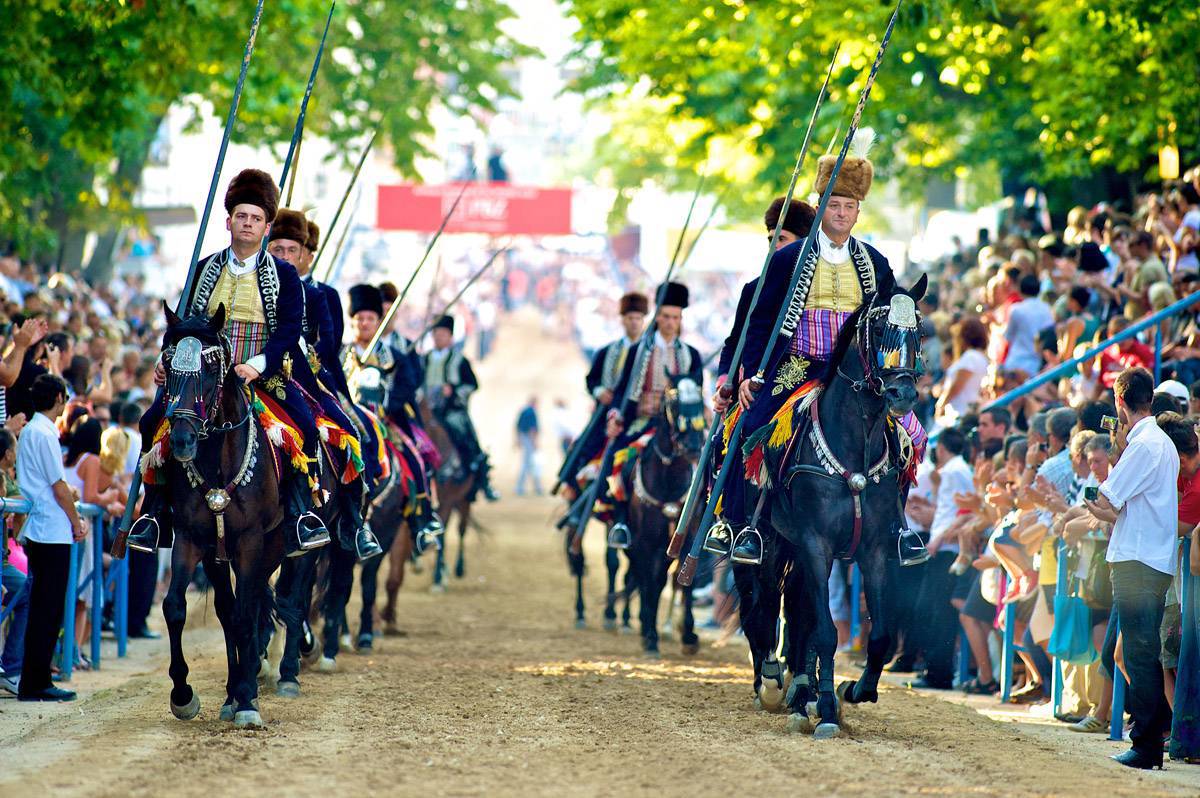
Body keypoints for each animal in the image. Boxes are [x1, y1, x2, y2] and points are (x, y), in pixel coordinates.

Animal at [157, 304, 285, 729]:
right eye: (168, 365)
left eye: (212, 369)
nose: (181, 440)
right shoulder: (192, 538)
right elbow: (175, 607)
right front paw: (183, 694)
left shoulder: (250, 542)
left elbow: (246, 615)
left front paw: (247, 702)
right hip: (218, 555)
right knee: (230, 610)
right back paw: (233, 690)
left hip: (274, 546)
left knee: (253, 604)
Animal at [624, 374, 705, 652]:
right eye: (673, 403)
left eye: (700, 399)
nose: (693, 446)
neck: (668, 479)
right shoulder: (644, 542)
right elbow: (651, 582)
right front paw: (650, 634)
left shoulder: (687, 538)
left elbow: (684, 580)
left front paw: (689, 633)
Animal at [739, 273, 926, 734]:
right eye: (878, 329)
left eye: (919, 332)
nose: (901, 393)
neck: (854, 447)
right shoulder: (815, 543)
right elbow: (825, 631)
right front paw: (824, 710)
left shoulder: (873, 550)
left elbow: (877, 636)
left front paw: (853, 691)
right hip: (772, 543)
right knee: (764, 604)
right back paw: (774, 683)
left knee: (797, 612)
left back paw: (800, 691)